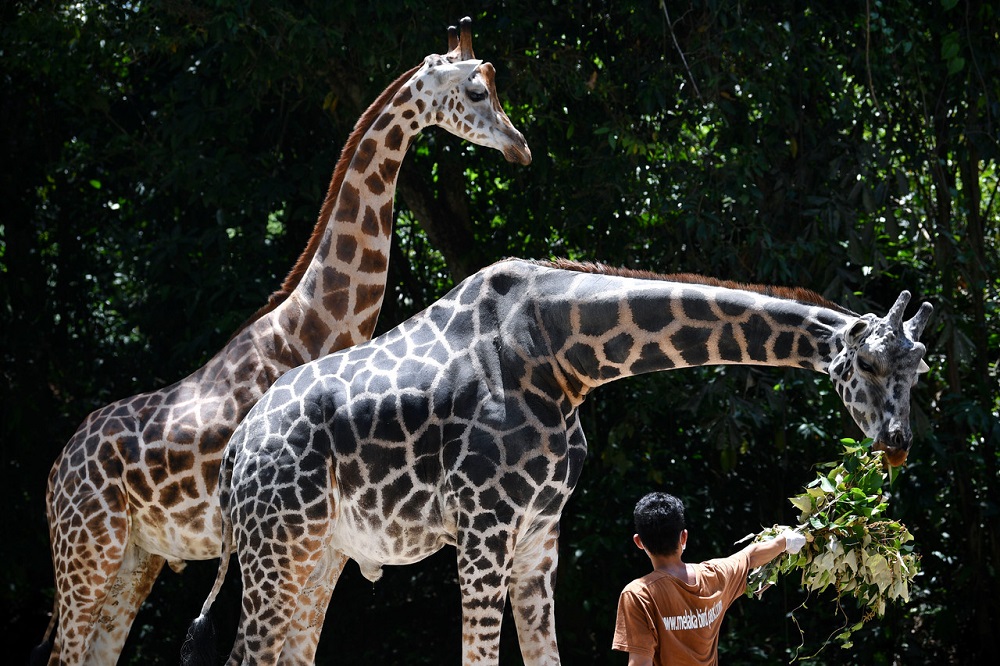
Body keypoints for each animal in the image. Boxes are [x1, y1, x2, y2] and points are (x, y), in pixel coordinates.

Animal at [35, 18, 530, 666]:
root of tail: (54, 474)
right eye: (476, 92)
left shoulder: (328, 542)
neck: (311, 326)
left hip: (135, 560)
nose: (520, 147)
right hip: (87, 553)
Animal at [183, 257, 933, 665]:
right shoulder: (483, 527)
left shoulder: (541, 533)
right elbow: (479, 657)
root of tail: (237, 450)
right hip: (276, 545)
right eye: (868, 364)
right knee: (246, 654)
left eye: (921, 368)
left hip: (320, 550)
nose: (897, 444)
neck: (564, 356)